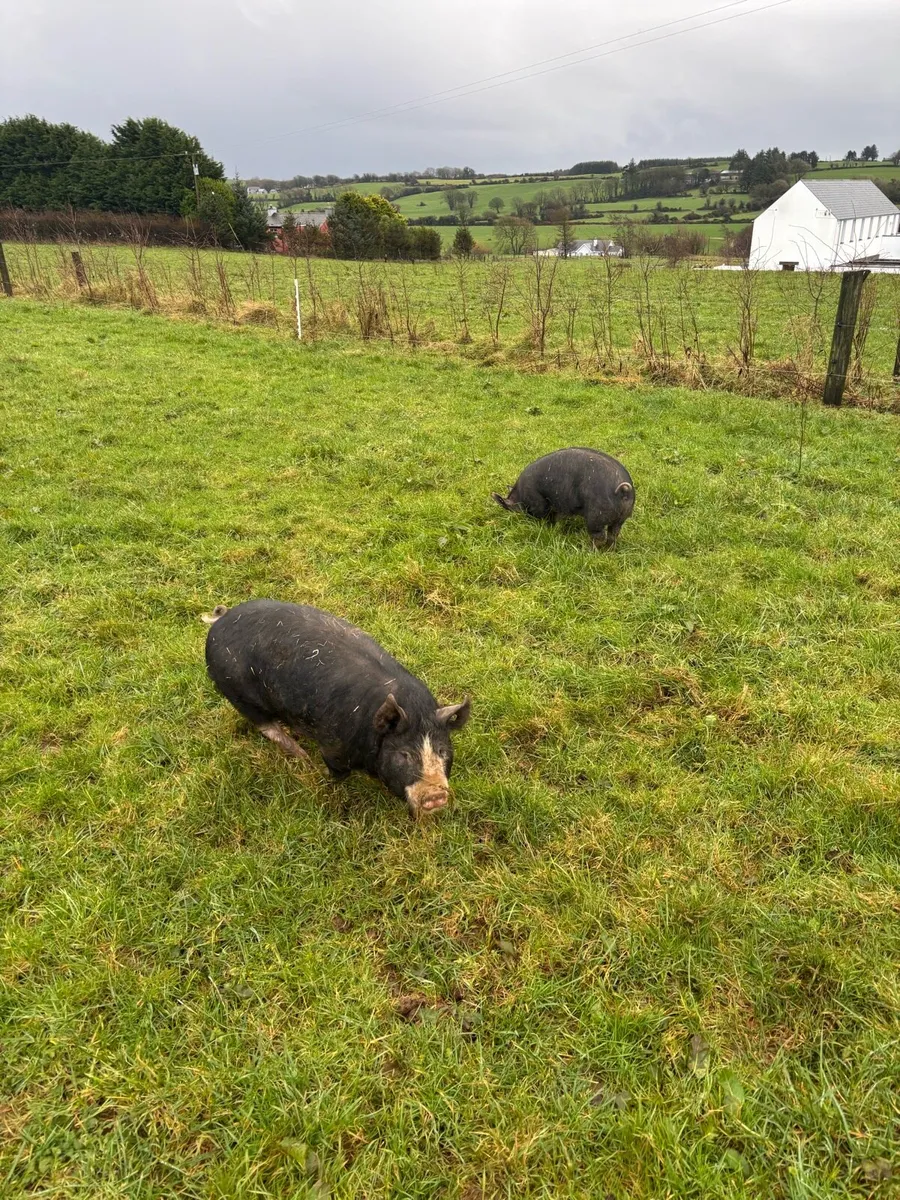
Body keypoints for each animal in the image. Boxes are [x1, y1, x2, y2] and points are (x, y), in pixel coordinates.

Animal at [204, 600, 470, 818]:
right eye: (404, 754)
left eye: (443, 750)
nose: (436, 795)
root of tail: (222, 619)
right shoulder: (333, 747)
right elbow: (337, 773)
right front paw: (324, 776)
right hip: (238, 695)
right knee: (266, 727)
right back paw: (303, 756)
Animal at [492, 447, 635, 549]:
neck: (520, 496)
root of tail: (622, 490)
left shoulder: (538, 503)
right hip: (620, 518)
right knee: (613, 534)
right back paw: (609, 551)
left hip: (596, 516)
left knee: (599, 537)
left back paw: (588, 550)